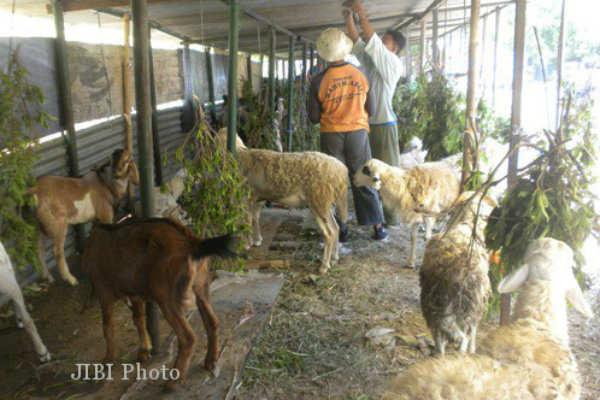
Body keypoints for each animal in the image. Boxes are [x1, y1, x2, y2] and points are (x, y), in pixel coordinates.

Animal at [30, 149, 139, 284]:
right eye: (112, 159)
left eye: (126, 161)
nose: (115, 172)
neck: (107, 182)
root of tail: (34, 191)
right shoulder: (105, 215)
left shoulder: (97, 220)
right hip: (57, 223)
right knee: (57, 251)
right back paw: (70, 279)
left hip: (38, 225)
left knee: (39, 251)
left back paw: (48, 277)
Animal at [83, 217, 238, 392]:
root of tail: (193, 244)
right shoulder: (135, 293)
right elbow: (139, 319)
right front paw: (144, 352)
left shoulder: (103, 289)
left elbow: (108, 328)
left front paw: (106, 364)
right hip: (201, 285)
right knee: (212, 322)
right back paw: (210, 362)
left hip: (166, 296)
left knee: (188, 337)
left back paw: (172, 381)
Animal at [221, 131, 350, 276]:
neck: (240, 154)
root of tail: (340, 171)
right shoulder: (259, 197)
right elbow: (255, 217)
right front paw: (257, 240)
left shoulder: (246, 195)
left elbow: (247, 220)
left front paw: (247, 244)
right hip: (325, 203)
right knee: (336, 228)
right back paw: (334, 258)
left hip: (318, 199)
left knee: (329, 233)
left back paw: (324, 266)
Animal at [418, 191, 496, 356]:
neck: (468, 222)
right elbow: (474, 333)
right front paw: (473, 350)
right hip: (470, 310)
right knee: (464, 341)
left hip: (432, 309)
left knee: (439, 344)